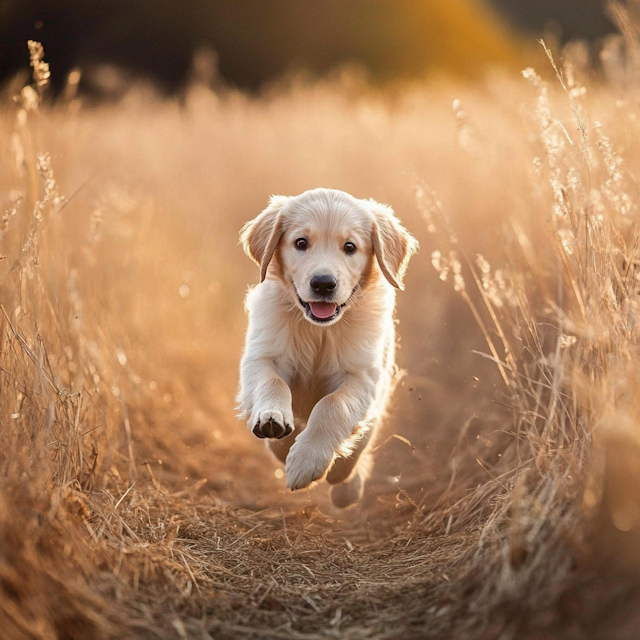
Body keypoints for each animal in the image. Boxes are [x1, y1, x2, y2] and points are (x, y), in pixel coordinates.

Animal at [238, 188, 418, 508]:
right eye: (300, 243)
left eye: (350, 247)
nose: (323, 284)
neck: (319, 331)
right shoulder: (262, 354)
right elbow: (272, 383)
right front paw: (273, 422)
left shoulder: (363, 376)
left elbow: (333, 405)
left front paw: (306, 461)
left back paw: (345, 481)